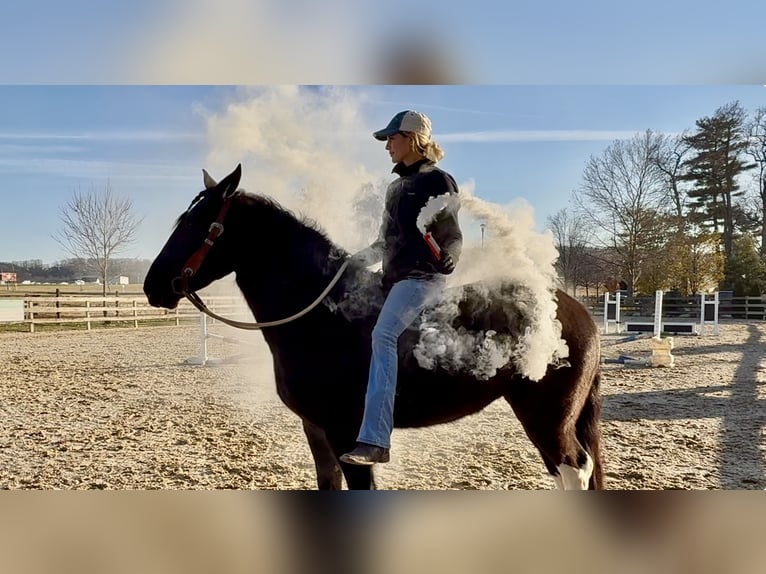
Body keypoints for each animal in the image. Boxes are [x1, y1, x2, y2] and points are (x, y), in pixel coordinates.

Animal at [143, 164, 604, 490]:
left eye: (195, 223)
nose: (153, 285)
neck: (321, 316)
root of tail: (573, 310)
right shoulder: (317, 431)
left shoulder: (347, 437)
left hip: (547, 418)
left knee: (575, 470)